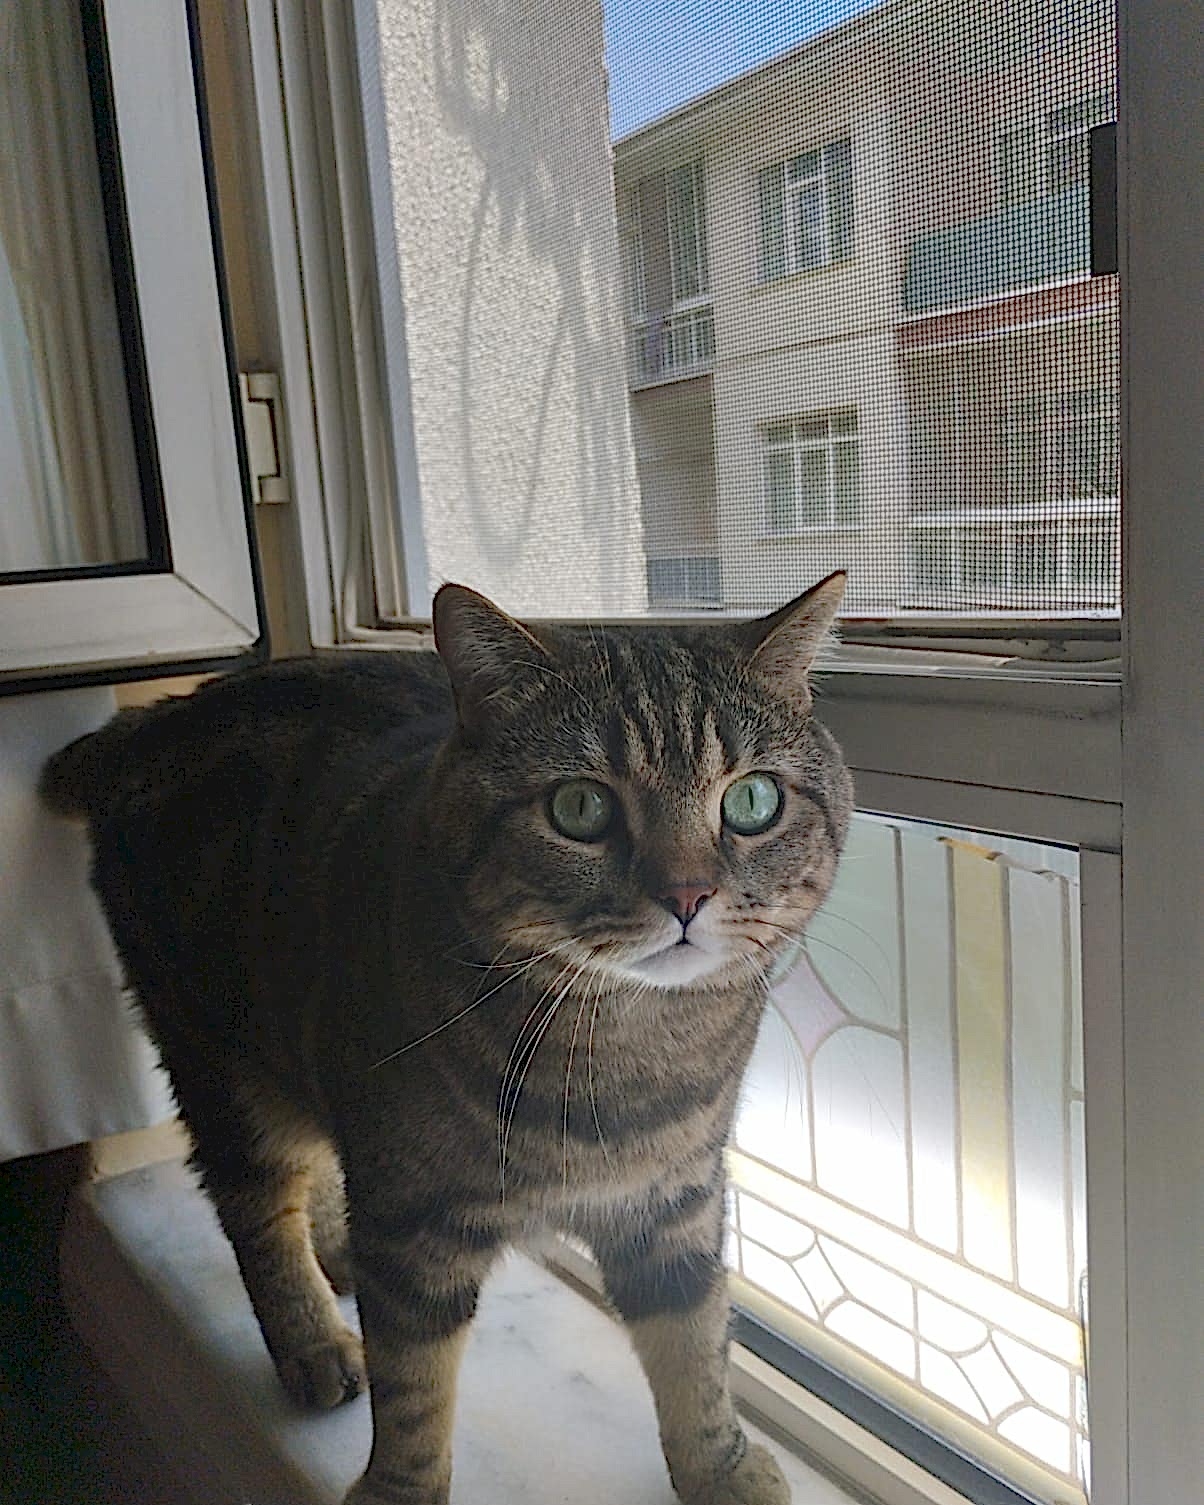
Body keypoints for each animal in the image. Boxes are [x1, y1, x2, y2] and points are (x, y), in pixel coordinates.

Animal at [40, 572, 852, 1505]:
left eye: (753, 800)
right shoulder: (414, 1222)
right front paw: (399, 1488)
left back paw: (336, 1253)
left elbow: (696, 1340)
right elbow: (414, 1385)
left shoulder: (673, 1199)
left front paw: (719, 1465)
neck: (622, 1053)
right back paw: (312, 1339)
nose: (688, 894)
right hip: (224, 1069)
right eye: (581, 807)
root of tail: (157, 717)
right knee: (257, 1207)